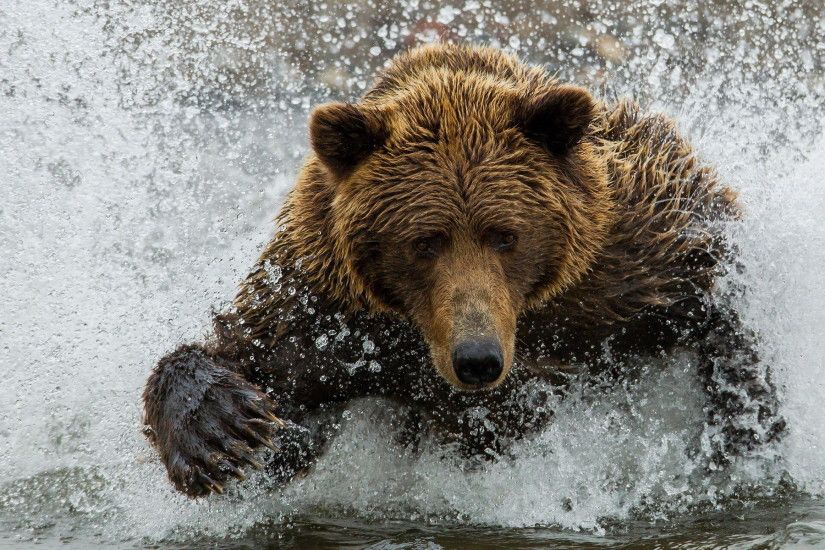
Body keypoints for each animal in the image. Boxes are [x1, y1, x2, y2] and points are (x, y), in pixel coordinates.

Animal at [143, 44, 784, 500]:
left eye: (506, 235)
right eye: (424, 241)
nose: (478, 359)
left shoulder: (631, 254)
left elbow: (714, 293)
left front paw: (744, 428)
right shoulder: (327, 313)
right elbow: (253, 358)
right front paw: (223, 433)